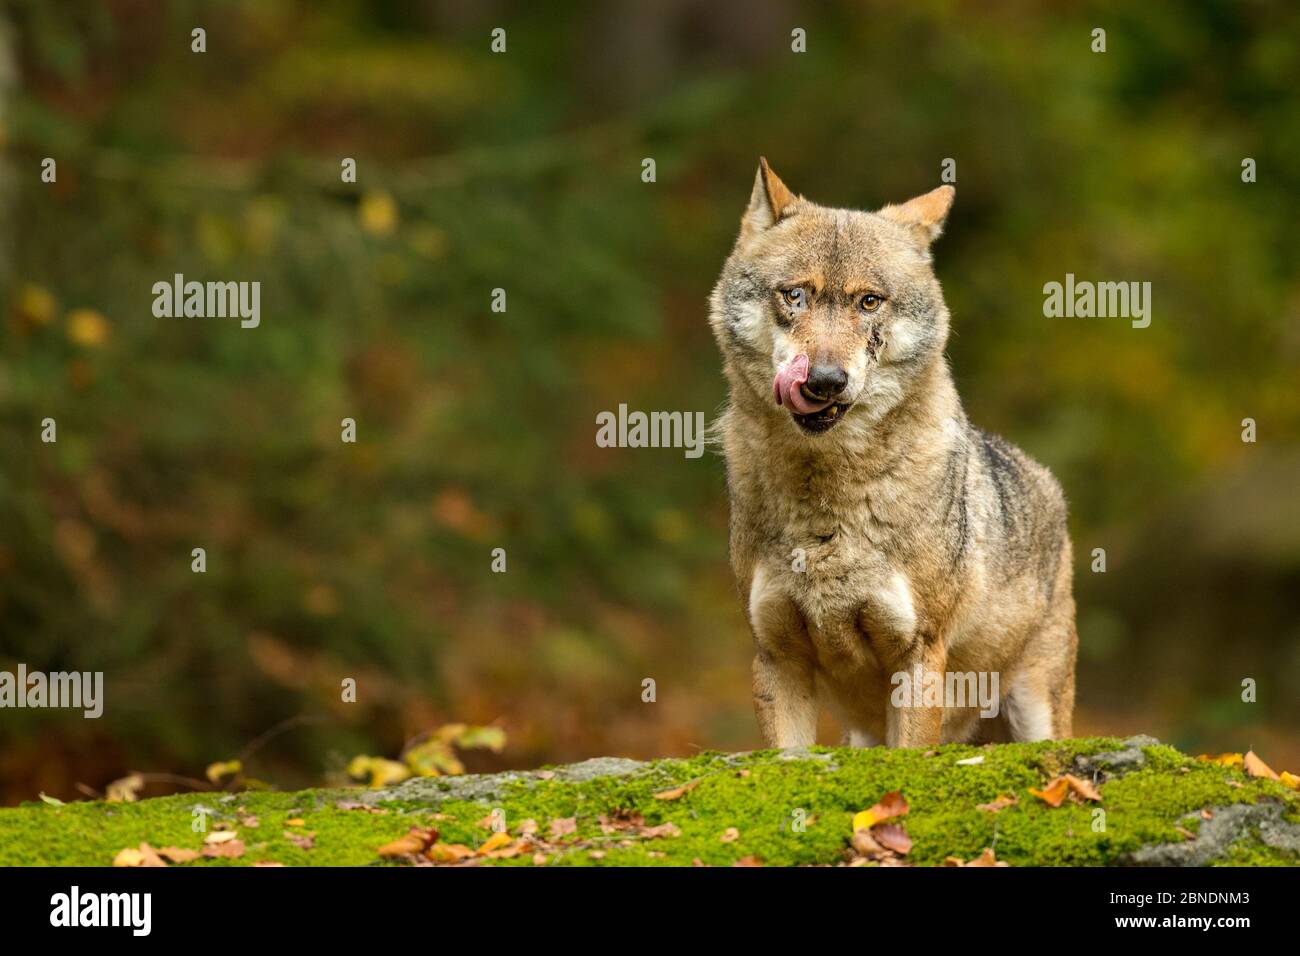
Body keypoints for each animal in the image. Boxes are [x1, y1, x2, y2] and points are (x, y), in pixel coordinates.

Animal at [712, 160, 1076, 749]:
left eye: (869, 301)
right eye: (795, 296)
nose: (824, 381)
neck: (826, 507)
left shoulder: (918, 654)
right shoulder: (775, 655)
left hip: (1036, 709)